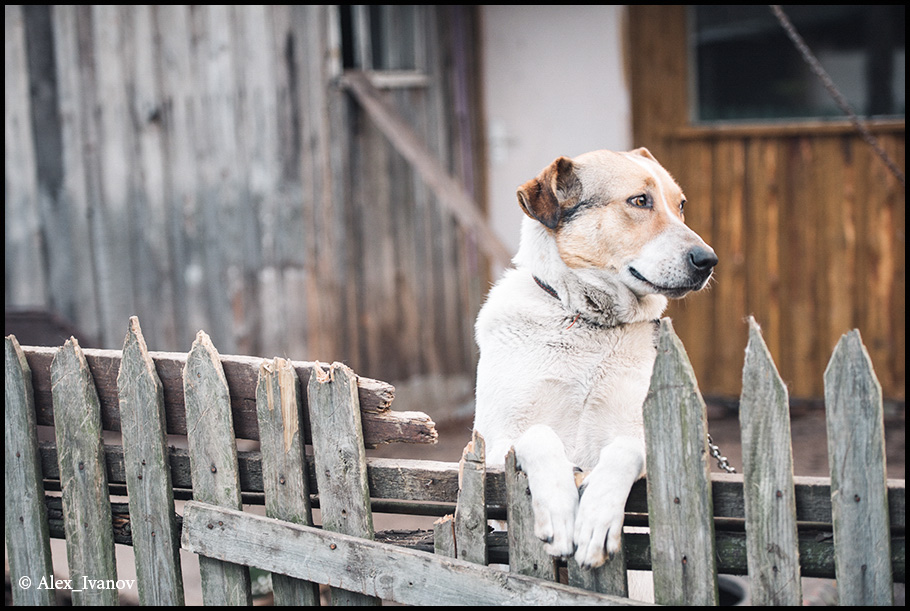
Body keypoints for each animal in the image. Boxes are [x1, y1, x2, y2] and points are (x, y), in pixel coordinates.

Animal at [474, 147, 716, 588]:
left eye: (681, 206)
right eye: (640, 201)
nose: (709, 260)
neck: (590, 323)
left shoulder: (649, 435)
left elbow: (622, 450)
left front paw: (594, 520)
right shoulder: (490, 448)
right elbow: (538, 435)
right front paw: (559, 510)